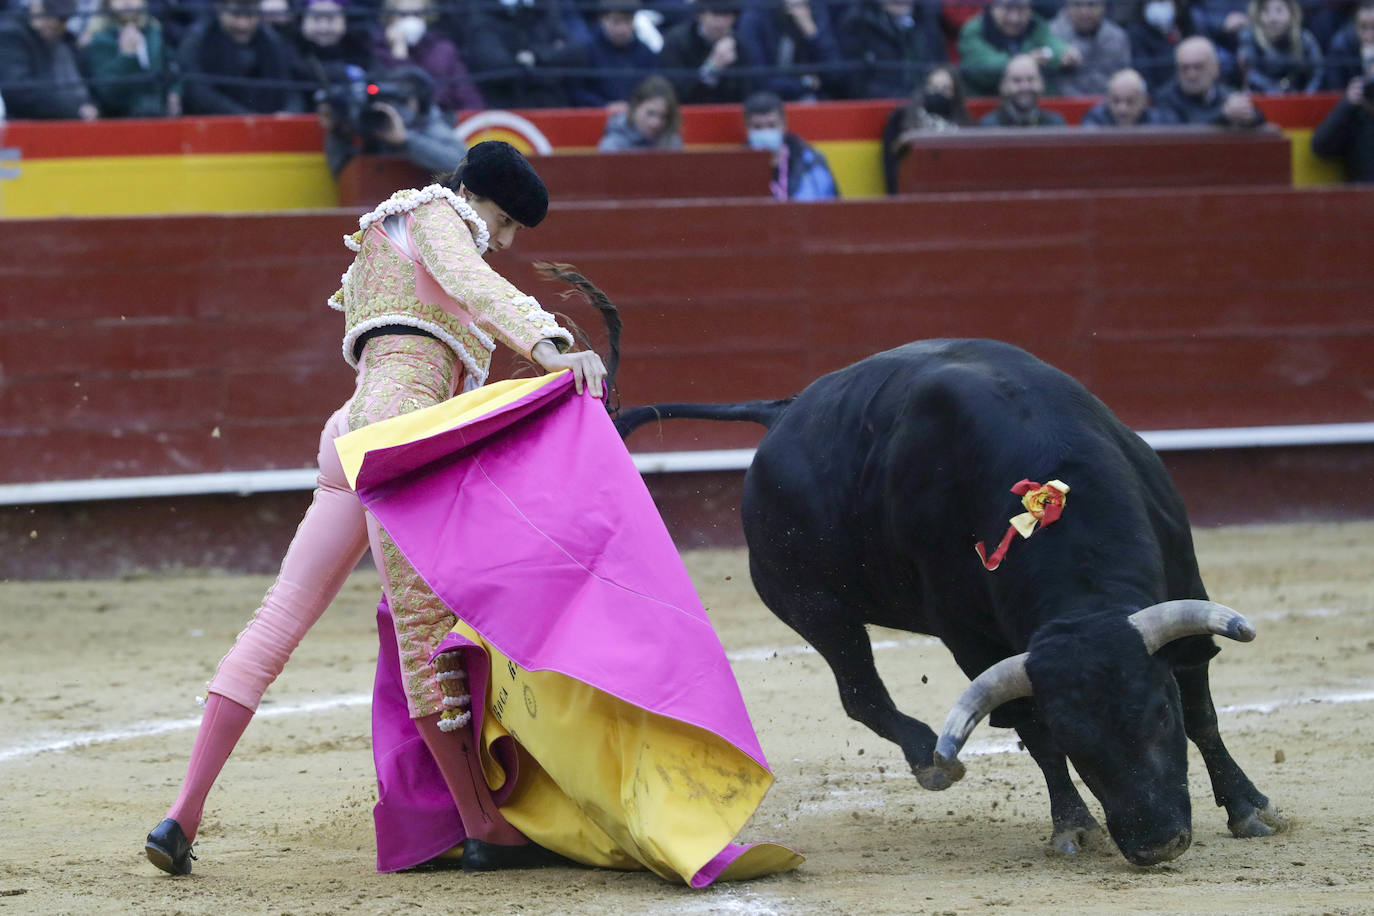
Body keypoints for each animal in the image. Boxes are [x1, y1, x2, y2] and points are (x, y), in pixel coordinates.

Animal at [618, 339, 1280, 867]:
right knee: (860, 692)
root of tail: (782, 413)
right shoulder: (970, 639)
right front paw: (1072, 827)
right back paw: (929, 760)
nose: (1156, 843)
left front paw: (1250, 809)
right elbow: (1032, 730)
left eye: (1160, 715)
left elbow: (1203, 711)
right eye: (1075, 737)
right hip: (812, 606)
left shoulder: (1184, 593)